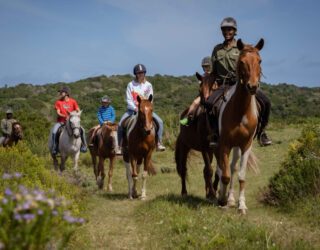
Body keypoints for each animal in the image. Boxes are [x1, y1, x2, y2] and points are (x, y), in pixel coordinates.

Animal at [216, 39, 264, 215]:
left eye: (259, 61)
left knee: (233, 167)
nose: (252, 86)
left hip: (237, 147)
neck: (241, 110)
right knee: (226, 169)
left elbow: (242, 176)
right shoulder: (224, 144)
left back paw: (232, 199)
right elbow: (225, 175)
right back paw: (227, 198)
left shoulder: (246, 145)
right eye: (242, 61)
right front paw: (222, 199)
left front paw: (241, 205)